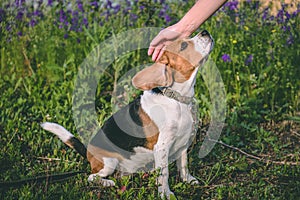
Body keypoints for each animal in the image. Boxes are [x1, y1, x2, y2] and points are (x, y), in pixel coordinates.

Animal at [41, 29, 214, 198]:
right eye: (183, 45)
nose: (205, 32)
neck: (177, 99)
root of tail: (88, 152)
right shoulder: (162, 147)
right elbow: (164, 174)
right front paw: (165, 193)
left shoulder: (183, 142)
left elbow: (183, 164)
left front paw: (187, 180)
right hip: (109, 163)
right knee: (92, 177)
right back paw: (107, 183)